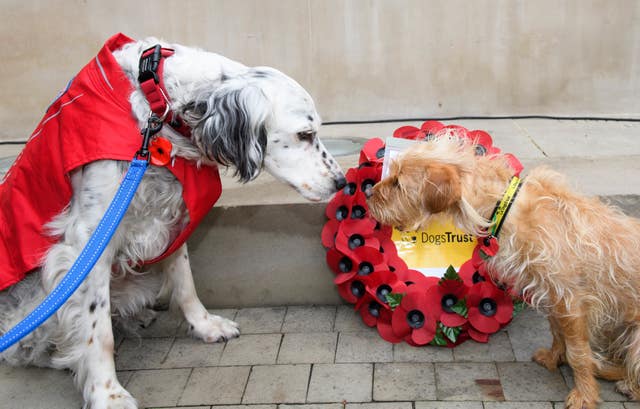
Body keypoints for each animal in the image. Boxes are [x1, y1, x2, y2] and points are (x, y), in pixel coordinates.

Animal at [368, 135, 640, 408]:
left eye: (398, 183)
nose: (368, 193)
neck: (504, 207)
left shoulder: (570, 299)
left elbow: (578, 353)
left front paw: (584, 394)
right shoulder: (550, 295)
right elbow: (557, 333)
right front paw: (554, 358)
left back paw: (623, 382)